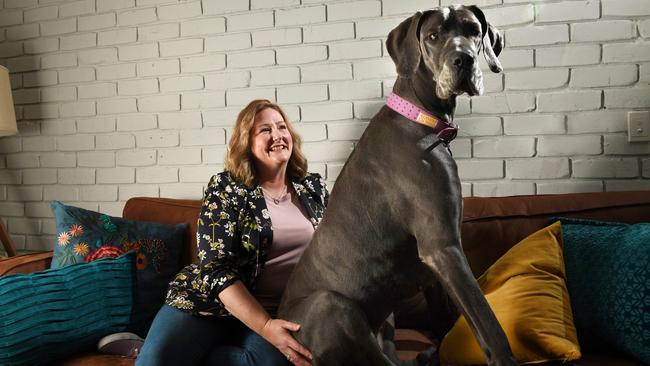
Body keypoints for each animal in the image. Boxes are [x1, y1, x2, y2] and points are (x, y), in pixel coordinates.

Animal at [278, 5, 516, 366]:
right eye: (433, 36)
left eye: (474, 31)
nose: (464, 60)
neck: (420, 117)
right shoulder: (443, 247)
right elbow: (488, 325)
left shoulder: (432, 266)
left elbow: (444, 320)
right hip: (332, 306)